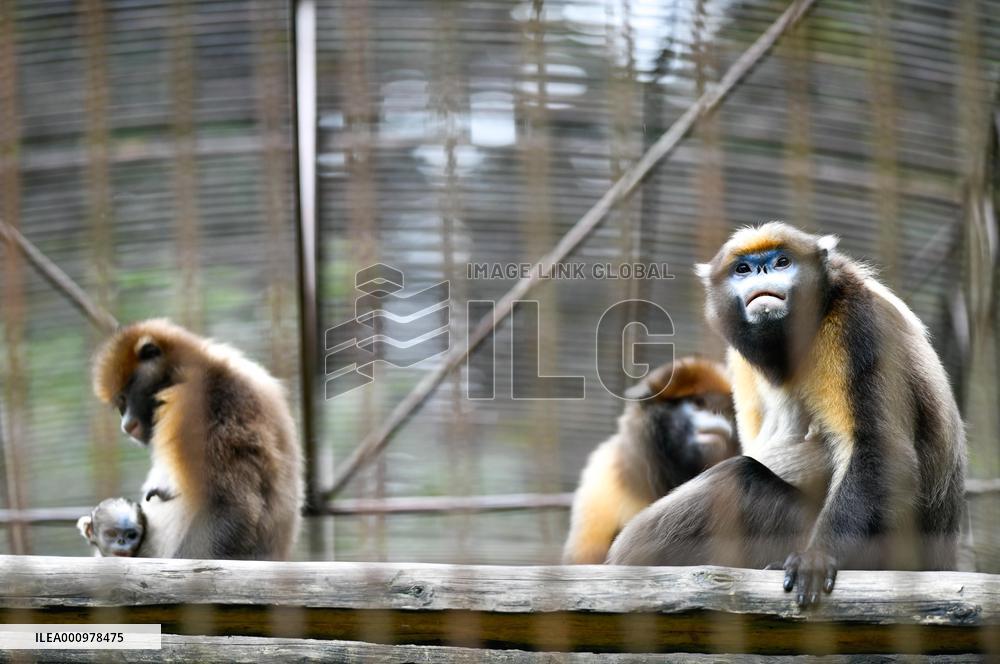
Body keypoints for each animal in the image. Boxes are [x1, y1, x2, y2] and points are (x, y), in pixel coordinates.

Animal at [92, 318, 304, 560]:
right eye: (120, 405)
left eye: (125, 399)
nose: (126, 425)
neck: (201, 367)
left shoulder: (200, 403)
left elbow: (232, 509)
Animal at [608, 222, 966, 607]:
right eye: (743, 269)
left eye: (782, 262)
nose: (763, 271)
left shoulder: (857, 323)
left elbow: (880, 448)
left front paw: (817, 557)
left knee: (739, 479)